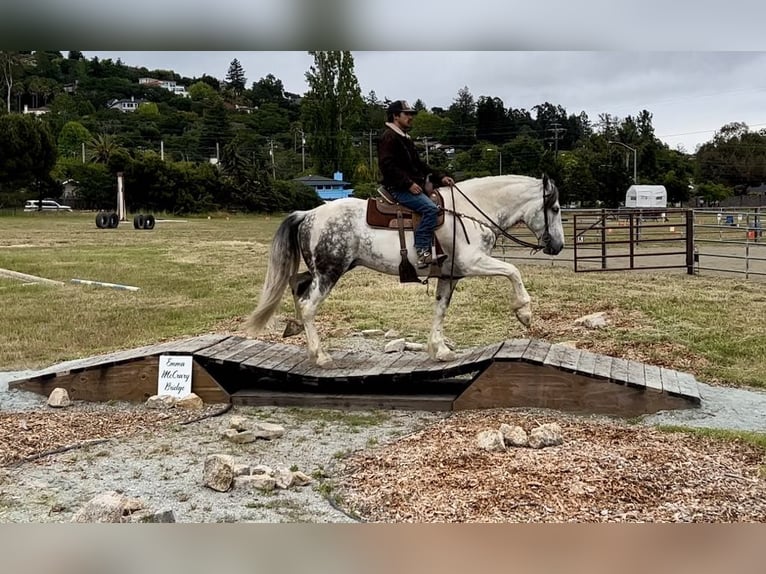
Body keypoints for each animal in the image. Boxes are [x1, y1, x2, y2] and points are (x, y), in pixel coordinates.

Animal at [249, 173, 568, 368]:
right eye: (555, 209)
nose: (559, 246)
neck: (470, 212)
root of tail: (308, 214)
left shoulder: (450, 275)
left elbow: (440, 309)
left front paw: (439, 349)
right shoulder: (473, 261)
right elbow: (513, 271)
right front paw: (524, 312)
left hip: (322, 271)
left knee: (297, 286)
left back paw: (301, 338)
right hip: (329, 272)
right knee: (307, 305)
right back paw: (321, 355)